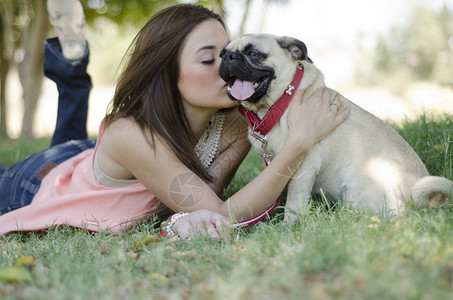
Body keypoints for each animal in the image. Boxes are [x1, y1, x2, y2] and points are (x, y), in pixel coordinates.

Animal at [217, 33, 450, 220]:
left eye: (253, 54)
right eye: (222, 54)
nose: (228, 58)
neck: (279, 102)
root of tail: (417, 200)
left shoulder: (304, 165)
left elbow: (294, 200)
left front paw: (289, 225)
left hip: (358, 184)